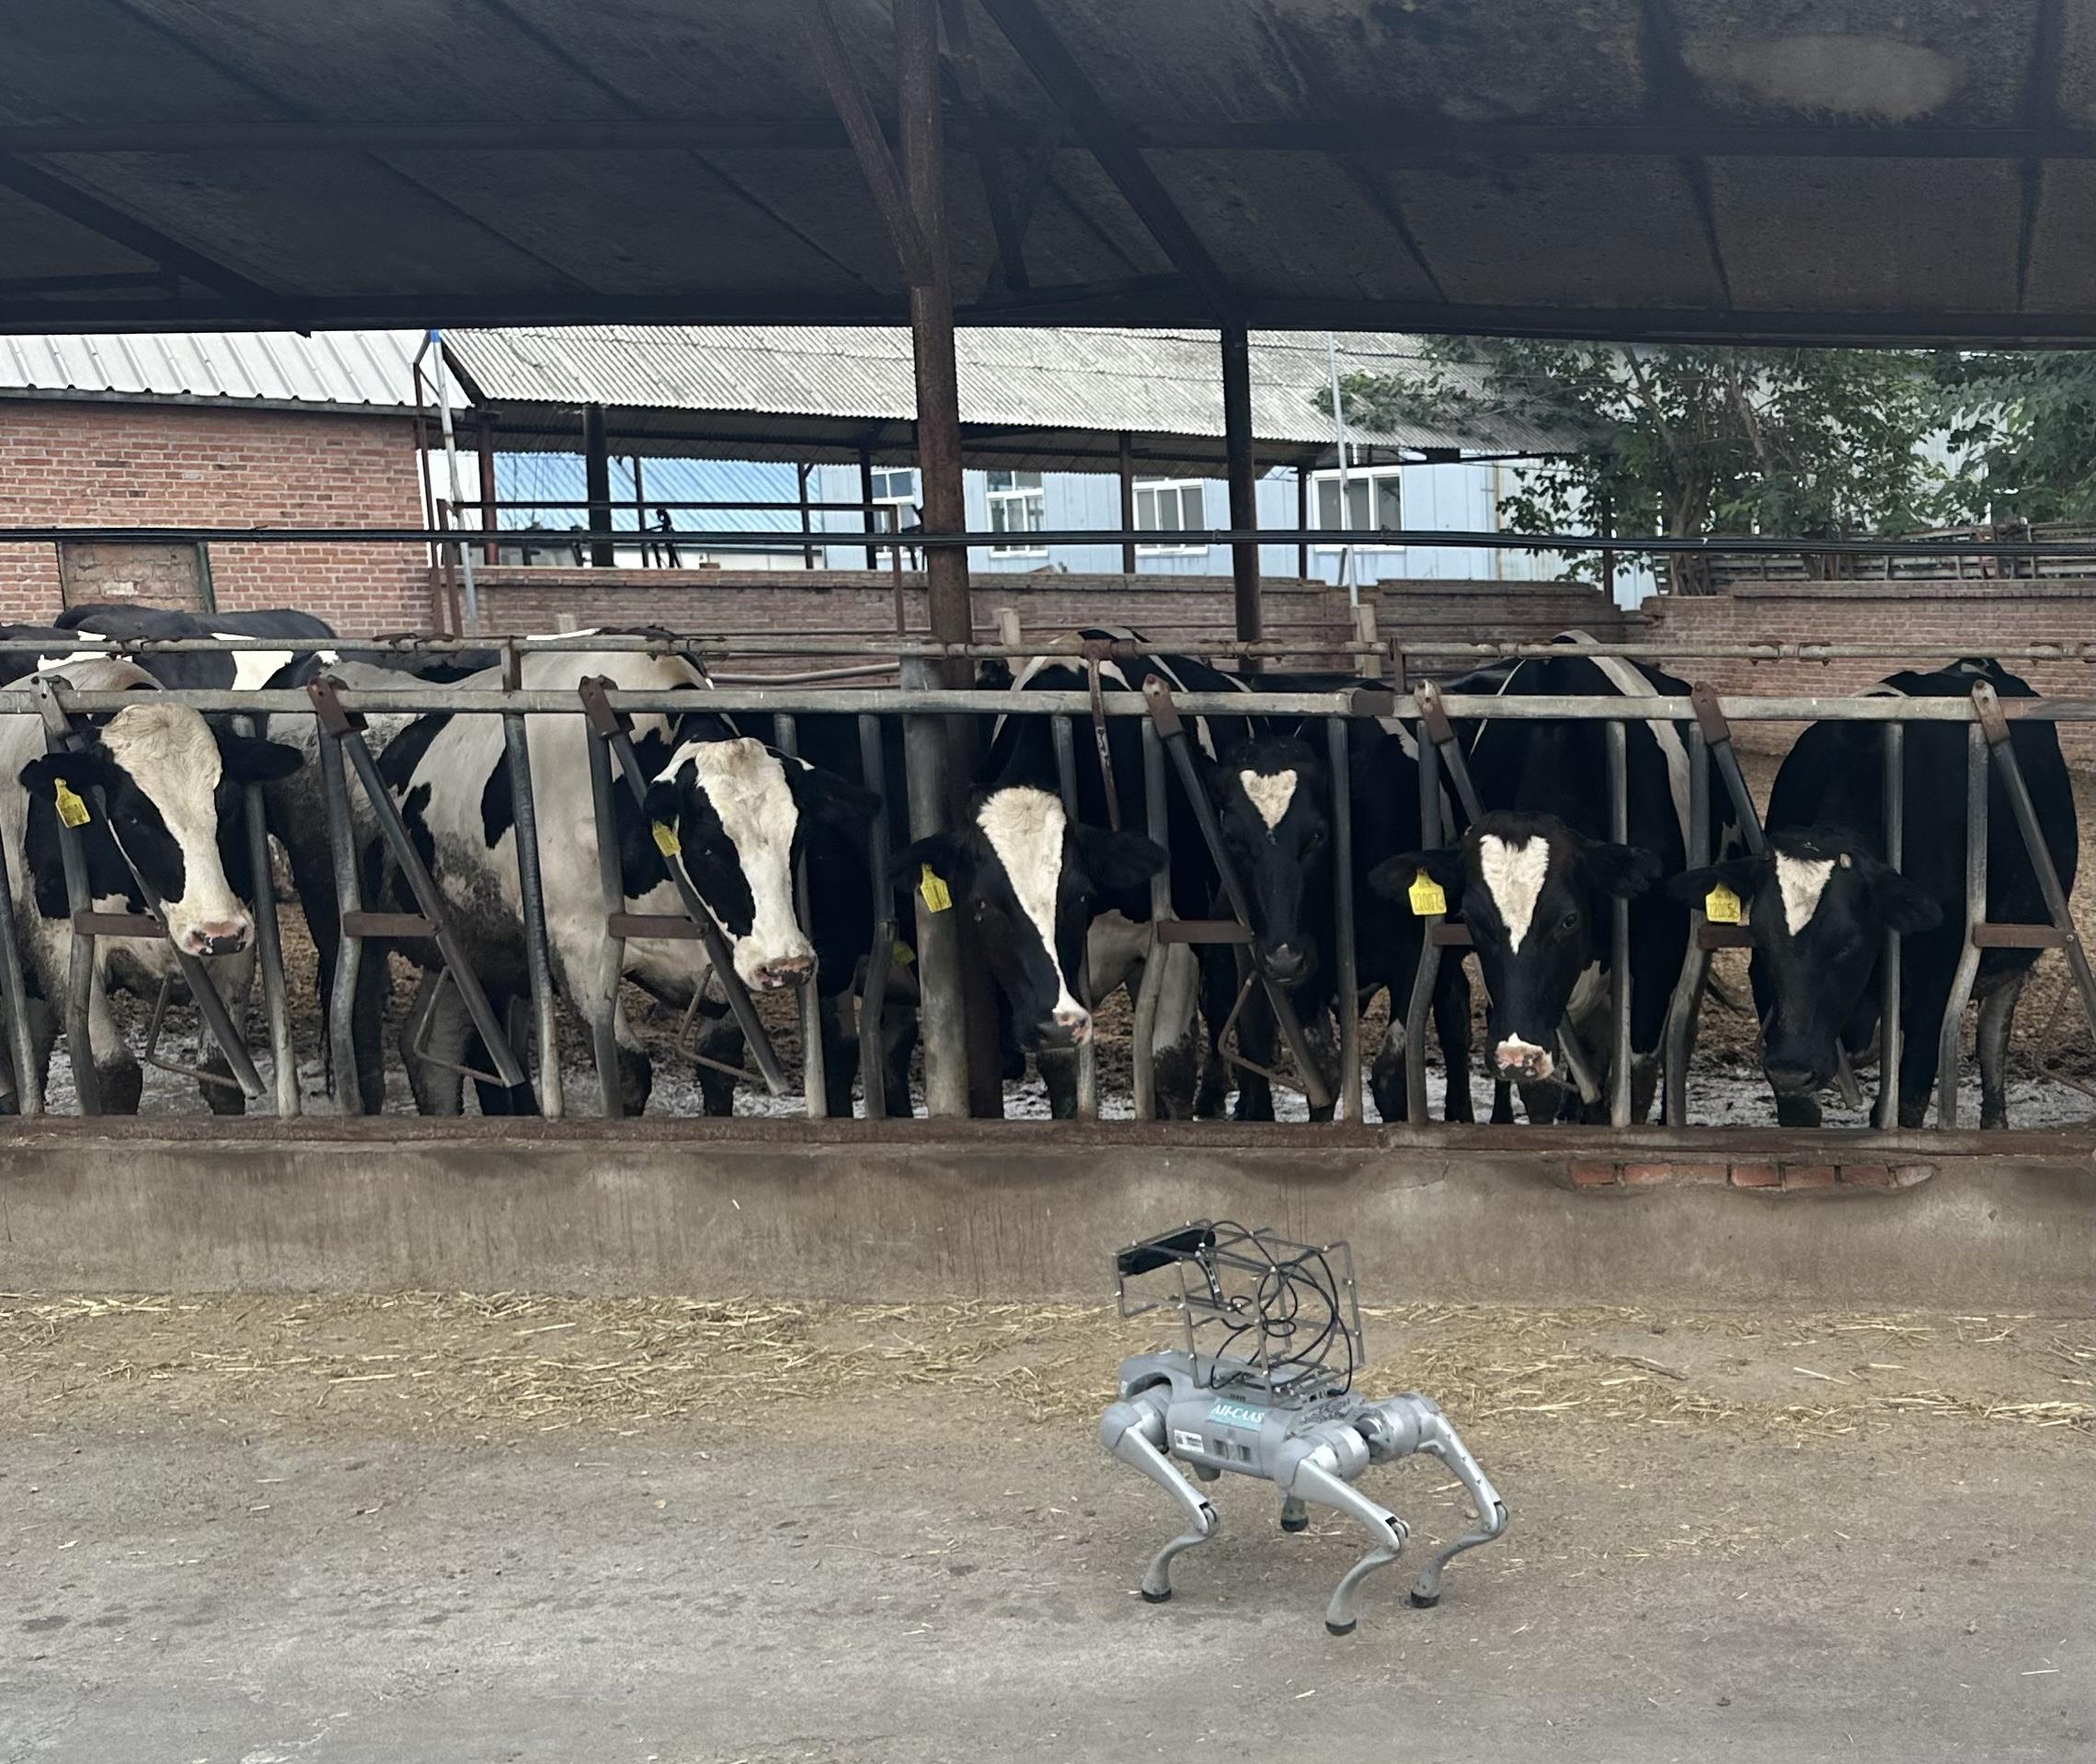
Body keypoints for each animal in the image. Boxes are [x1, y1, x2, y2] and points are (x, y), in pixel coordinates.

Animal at [0, 657, 302, 1112]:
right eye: (132, 817)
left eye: (229, 804)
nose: (216, 932)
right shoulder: (60, 945)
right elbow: (116, 1076)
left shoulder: (238, 944)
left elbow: (221, 1073)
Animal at [363, 641, 879, 1116]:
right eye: (707, 847)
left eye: (799, 837)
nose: (786, 965)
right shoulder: (580, 952)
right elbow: (628, 1073)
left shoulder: (720, 964)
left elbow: (718, 1066)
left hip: (469, 947)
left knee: (433, 1048)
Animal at [1369, 644, 1696, 1124]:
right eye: (1471, 917)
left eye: (1569, 920)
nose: (1514, 1055)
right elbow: (1542, 1091)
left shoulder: (1659, 955)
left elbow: (1635, 1086)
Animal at [1672, 658, 2076, 1128]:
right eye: (1759, 935)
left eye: (1849, 943)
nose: (1791, 1065)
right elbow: (1799, 1112)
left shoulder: (1935, 990)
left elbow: (1904, 1105)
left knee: (1993, 1035)